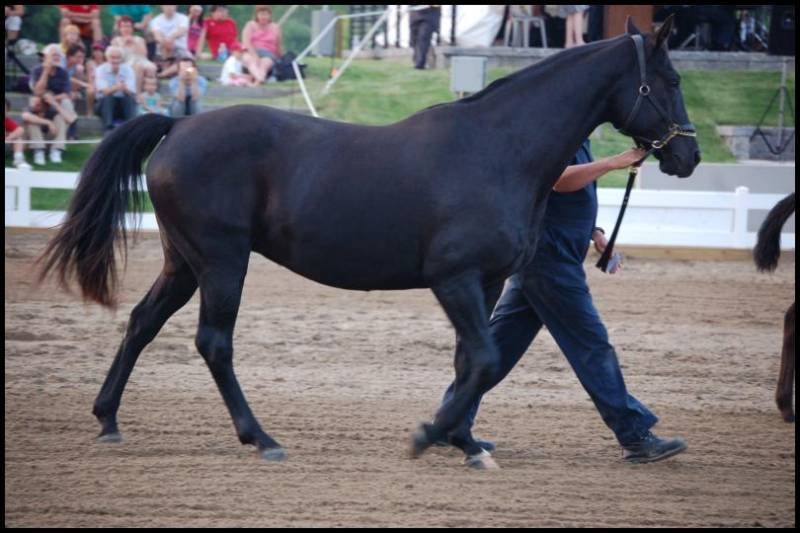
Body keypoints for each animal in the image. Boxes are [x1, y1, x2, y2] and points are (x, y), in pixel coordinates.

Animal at [38, 17, 699, 468]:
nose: (688, 157)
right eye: (668, 79)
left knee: (142, 323)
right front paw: (429, 435)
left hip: (184, 261)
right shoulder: (453, 279)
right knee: (214, 343)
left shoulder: (485, 282)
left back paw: (108, 419)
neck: (497, 148)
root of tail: (177, 124)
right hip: (222, 260)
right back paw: (262, 438)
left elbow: (471, 360)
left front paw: (464, 440)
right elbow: (484, 358)